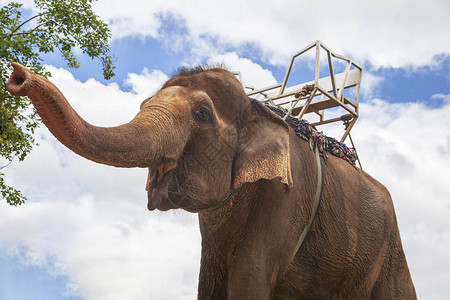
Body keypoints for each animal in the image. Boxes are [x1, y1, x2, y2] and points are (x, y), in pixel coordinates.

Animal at [6, 62, 414, 298]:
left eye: (201, 114)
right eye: (142, 106)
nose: (18, 75)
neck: (260, 107)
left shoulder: (285, 200)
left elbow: (249, 279)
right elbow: (210, 284)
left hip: (391, 249)